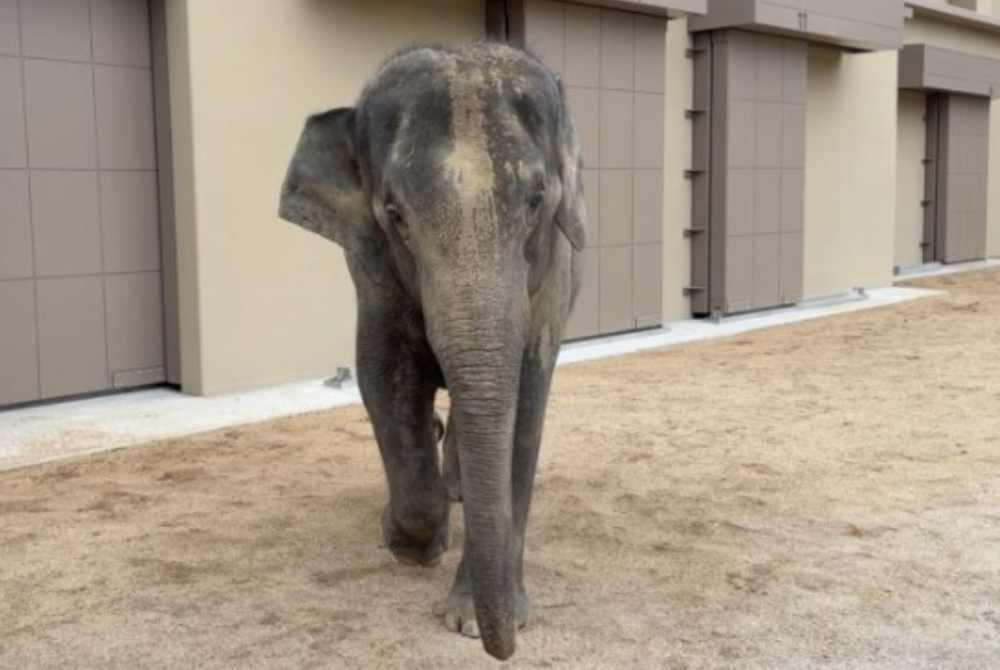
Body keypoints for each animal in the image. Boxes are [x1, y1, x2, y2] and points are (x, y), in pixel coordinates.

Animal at [278, 42, 585, 660]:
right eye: (394, 213)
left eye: (537, 201)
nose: (499, 648)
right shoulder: (371, 267)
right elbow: (382, 372)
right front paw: (410, 542)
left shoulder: (552, 281)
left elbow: (525, 402)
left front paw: (473, 618)